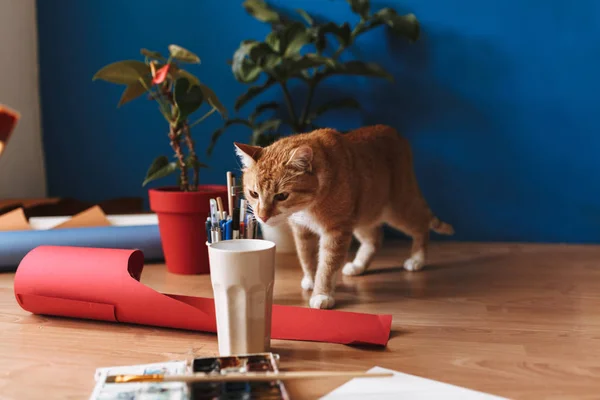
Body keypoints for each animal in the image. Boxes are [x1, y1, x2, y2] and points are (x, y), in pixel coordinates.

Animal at [232, 125, 452, 310]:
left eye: (282, 196)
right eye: (253, 194)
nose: (262, 216)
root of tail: (397, 135)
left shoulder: (336, 231)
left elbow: (327, 265)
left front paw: (322, 294)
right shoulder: (302, 230)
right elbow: (306, 257)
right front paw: (311, 279)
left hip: (398, 208)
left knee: (421, 225)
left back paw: (417, 259)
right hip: (363, 215)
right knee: (375, 239)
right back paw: (358, 265)